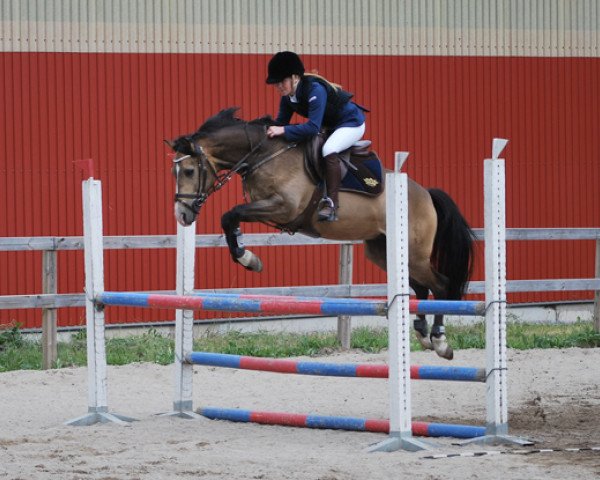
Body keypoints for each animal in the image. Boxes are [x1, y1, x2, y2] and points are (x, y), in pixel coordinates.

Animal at [166, 107, 476, 358]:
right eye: (175, 173)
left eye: (190, 171)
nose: (182, 215)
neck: (264, 155)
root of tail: (426, 194)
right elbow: (231, 218)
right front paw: (248, 256)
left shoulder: (283, 208)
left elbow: (230, 215)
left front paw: (248, 259)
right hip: (384, 251)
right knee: (421, 287)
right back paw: (422, 333)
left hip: (414, 252)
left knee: (440, 285)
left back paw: (440, 341)